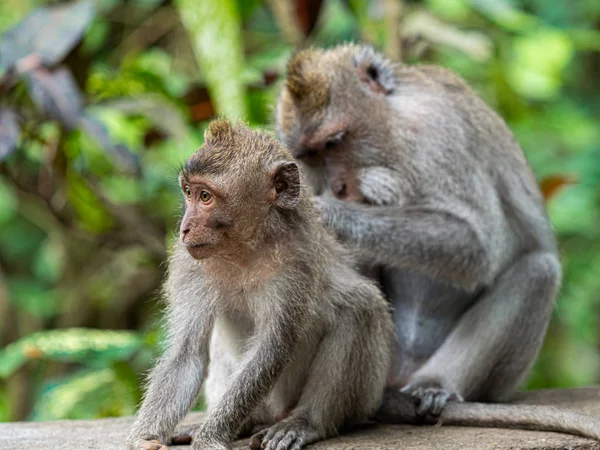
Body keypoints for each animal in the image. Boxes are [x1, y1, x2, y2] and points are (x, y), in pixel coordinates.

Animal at [126, 118, 394, 450]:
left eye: (205, 196)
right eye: (188, 192)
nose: (184, 228)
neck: (244, 248)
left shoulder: (296, 262)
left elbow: (271, 349)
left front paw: (209, 438)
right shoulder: (190, 265)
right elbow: (186, 352)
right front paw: (145, 438)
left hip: (360, 397)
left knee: (360, 308)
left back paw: (304, 422)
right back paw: (245, 422)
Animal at [274, 44, 592, 428]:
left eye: (334, 142)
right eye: (311, 155)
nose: (338, 187)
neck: (394, 122)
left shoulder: (434, 131)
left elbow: (477, 246)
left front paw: (330, 214)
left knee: (539, 271)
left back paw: (435, 383)